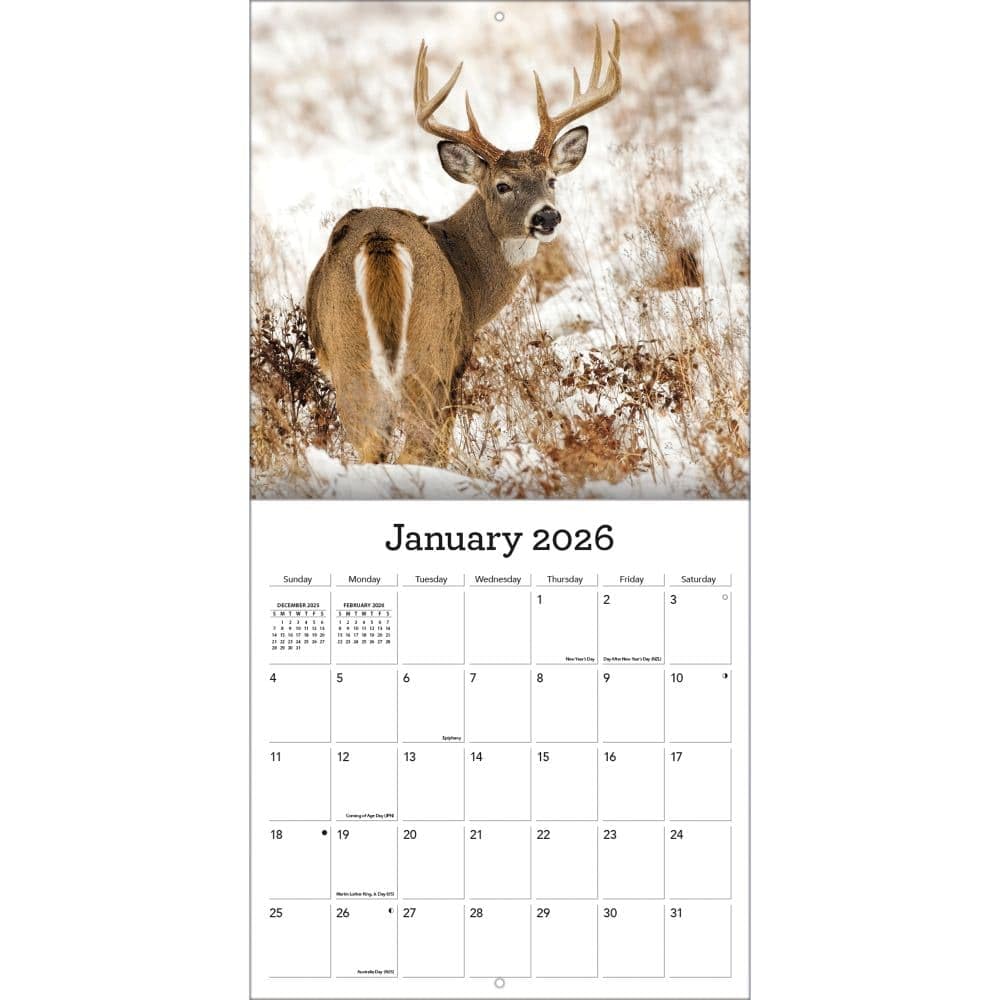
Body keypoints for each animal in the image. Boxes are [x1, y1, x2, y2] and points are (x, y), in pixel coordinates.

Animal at [306, 22, 622, 466]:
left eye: (551, 180)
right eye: (502, 185)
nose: (546, 217)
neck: (468, 273)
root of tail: (380, 240)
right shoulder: (460, 351)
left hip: (351, 352)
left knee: (372, 445)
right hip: (430, 346)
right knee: (416, 446)